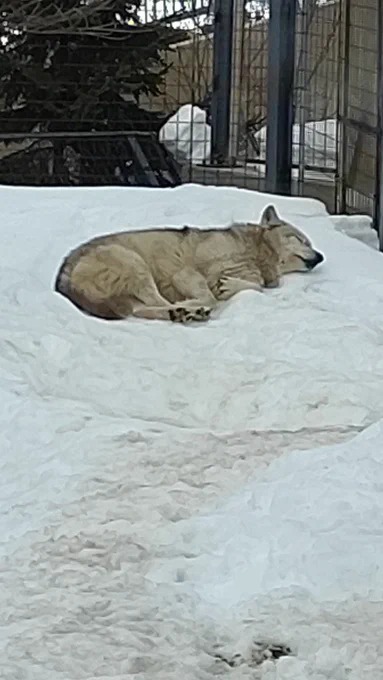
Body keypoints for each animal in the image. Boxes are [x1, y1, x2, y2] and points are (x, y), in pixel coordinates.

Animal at [54, 203, 324, 322]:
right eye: (302, 240)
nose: (321, 257)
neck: (255, 254)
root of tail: (63, 276)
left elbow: (256, 287)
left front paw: (230, 285)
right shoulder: (185, 273)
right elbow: (212, 296)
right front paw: (200, 301)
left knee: (142, 310)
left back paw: (180, 313)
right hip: (134, 263)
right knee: (156, 302)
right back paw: (187, 311)